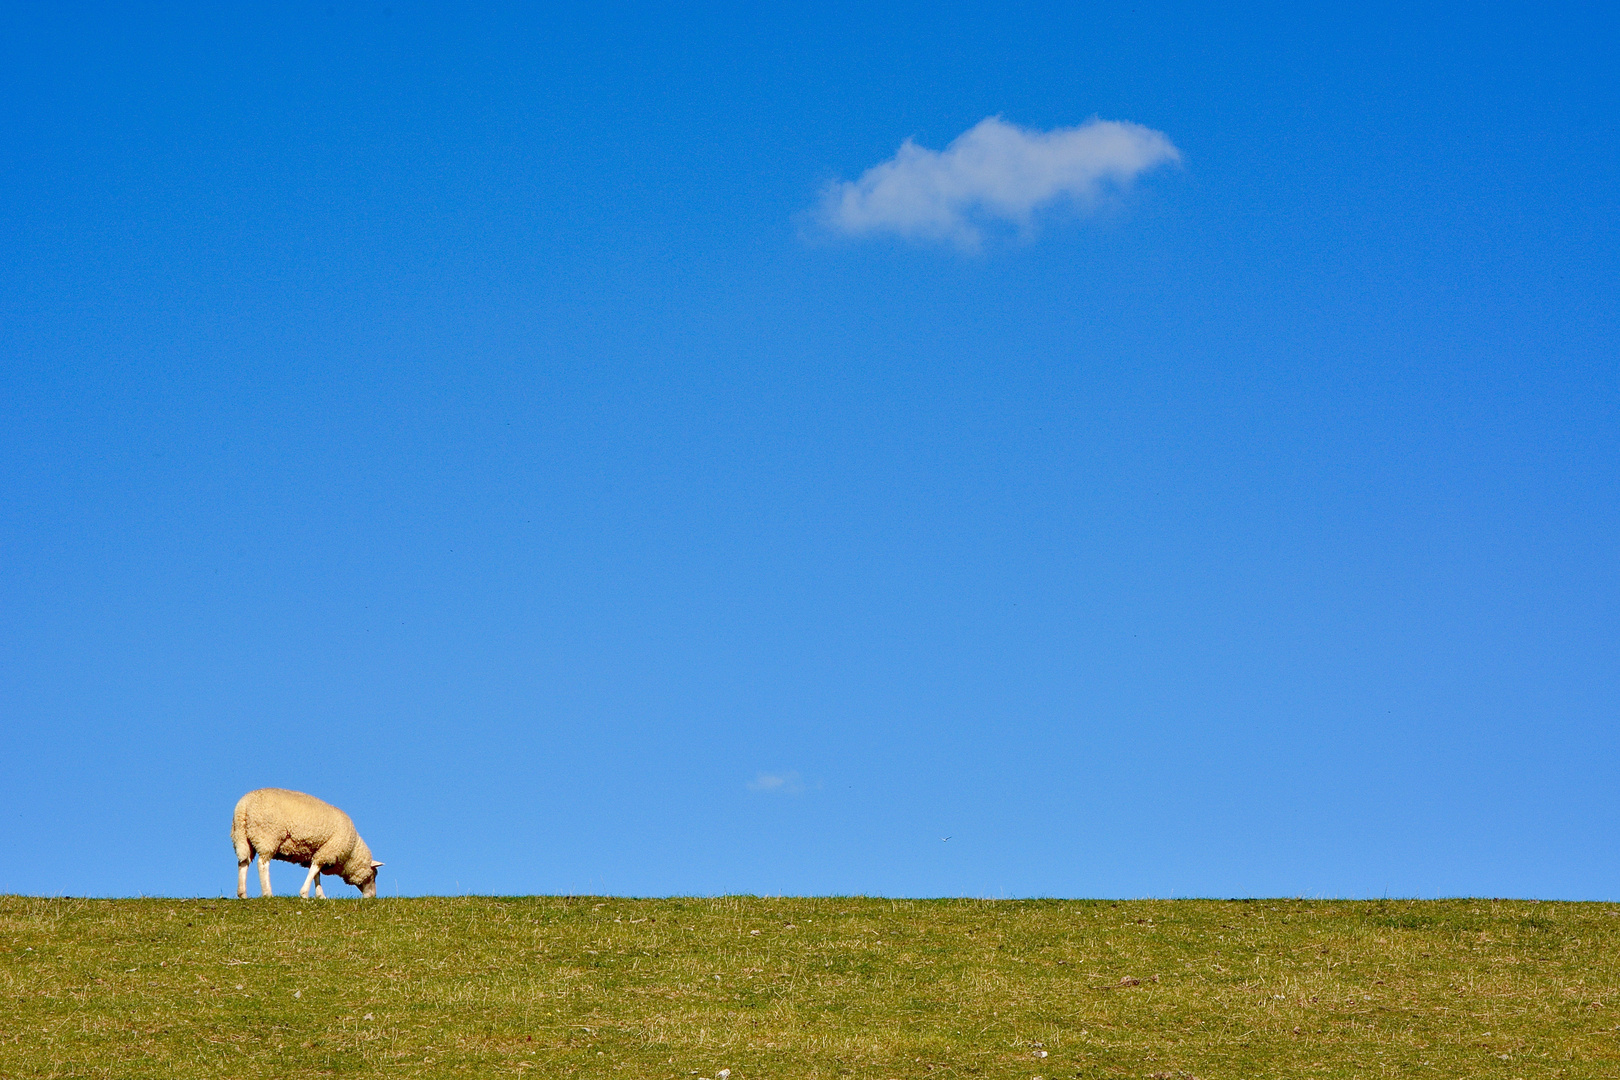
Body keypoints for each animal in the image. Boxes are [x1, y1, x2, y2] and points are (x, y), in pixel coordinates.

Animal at [231, 790, 382, 900]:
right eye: (374, 875)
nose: (373, 896)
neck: (351, 852)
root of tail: (243, 806)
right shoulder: (328, 850)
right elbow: (314, 871)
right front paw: (304, 894)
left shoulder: (317, 852)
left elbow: (316, 874)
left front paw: (320, 895)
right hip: (266, 836)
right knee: (262, 864)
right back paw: (268, 893)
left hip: (242, 837)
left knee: (243, 862)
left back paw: (242, 894)